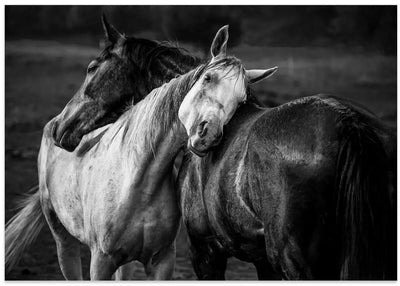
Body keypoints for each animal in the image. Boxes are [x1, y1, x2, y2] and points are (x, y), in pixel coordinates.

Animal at [6, 24, 276, 280]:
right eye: (207, 78)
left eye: (241, 101)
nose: (208, 133)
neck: (138, 180)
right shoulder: (101, 261)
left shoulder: (166, 260)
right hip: (64, 242)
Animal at [179, 37, 396, 280]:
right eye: (207, 78)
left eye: (240, 98)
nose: (207, 134)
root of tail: (347, 120)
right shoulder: (261, 259)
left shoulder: (205, 252)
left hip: (291, 258)